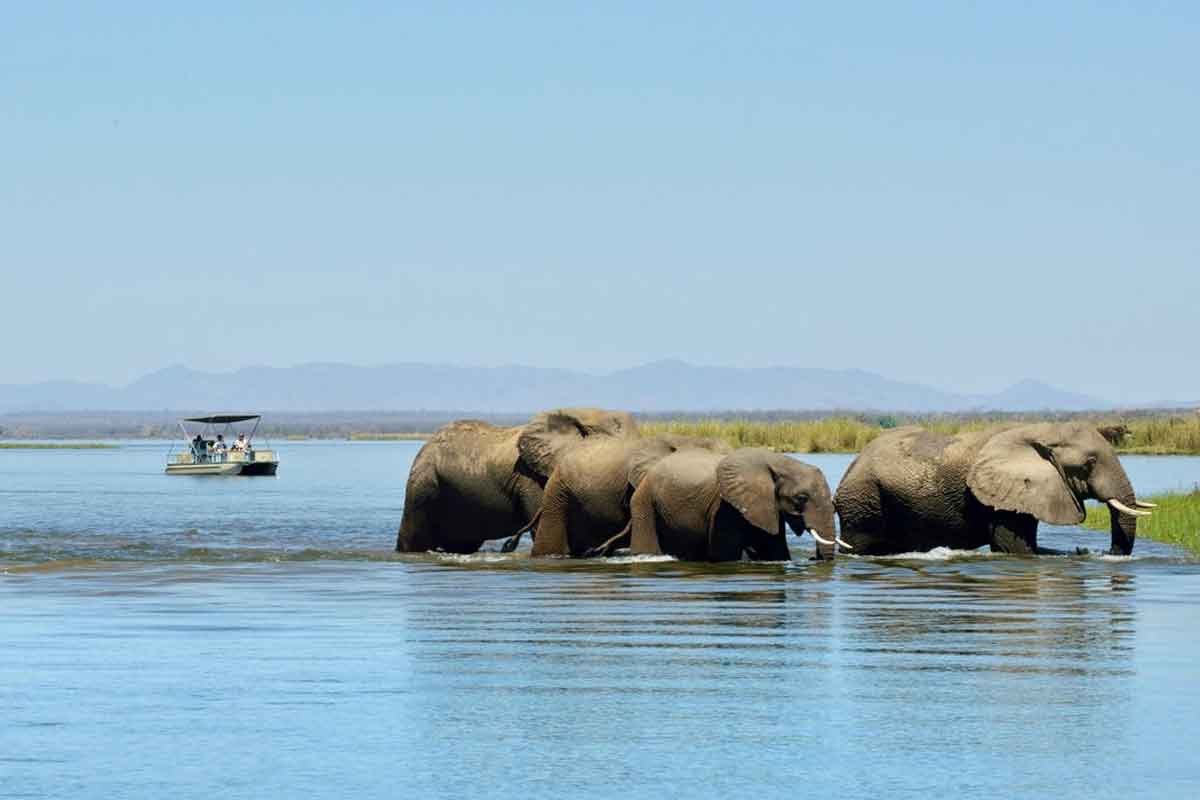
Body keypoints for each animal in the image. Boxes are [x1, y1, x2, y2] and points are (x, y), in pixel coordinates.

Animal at [628, 450, 844, 563]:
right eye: (801, 498)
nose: (812, 559)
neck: (779, 462)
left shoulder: (767, 507)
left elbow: (775, 550)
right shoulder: (724, 508)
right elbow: (725, 556)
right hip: (644, 502)